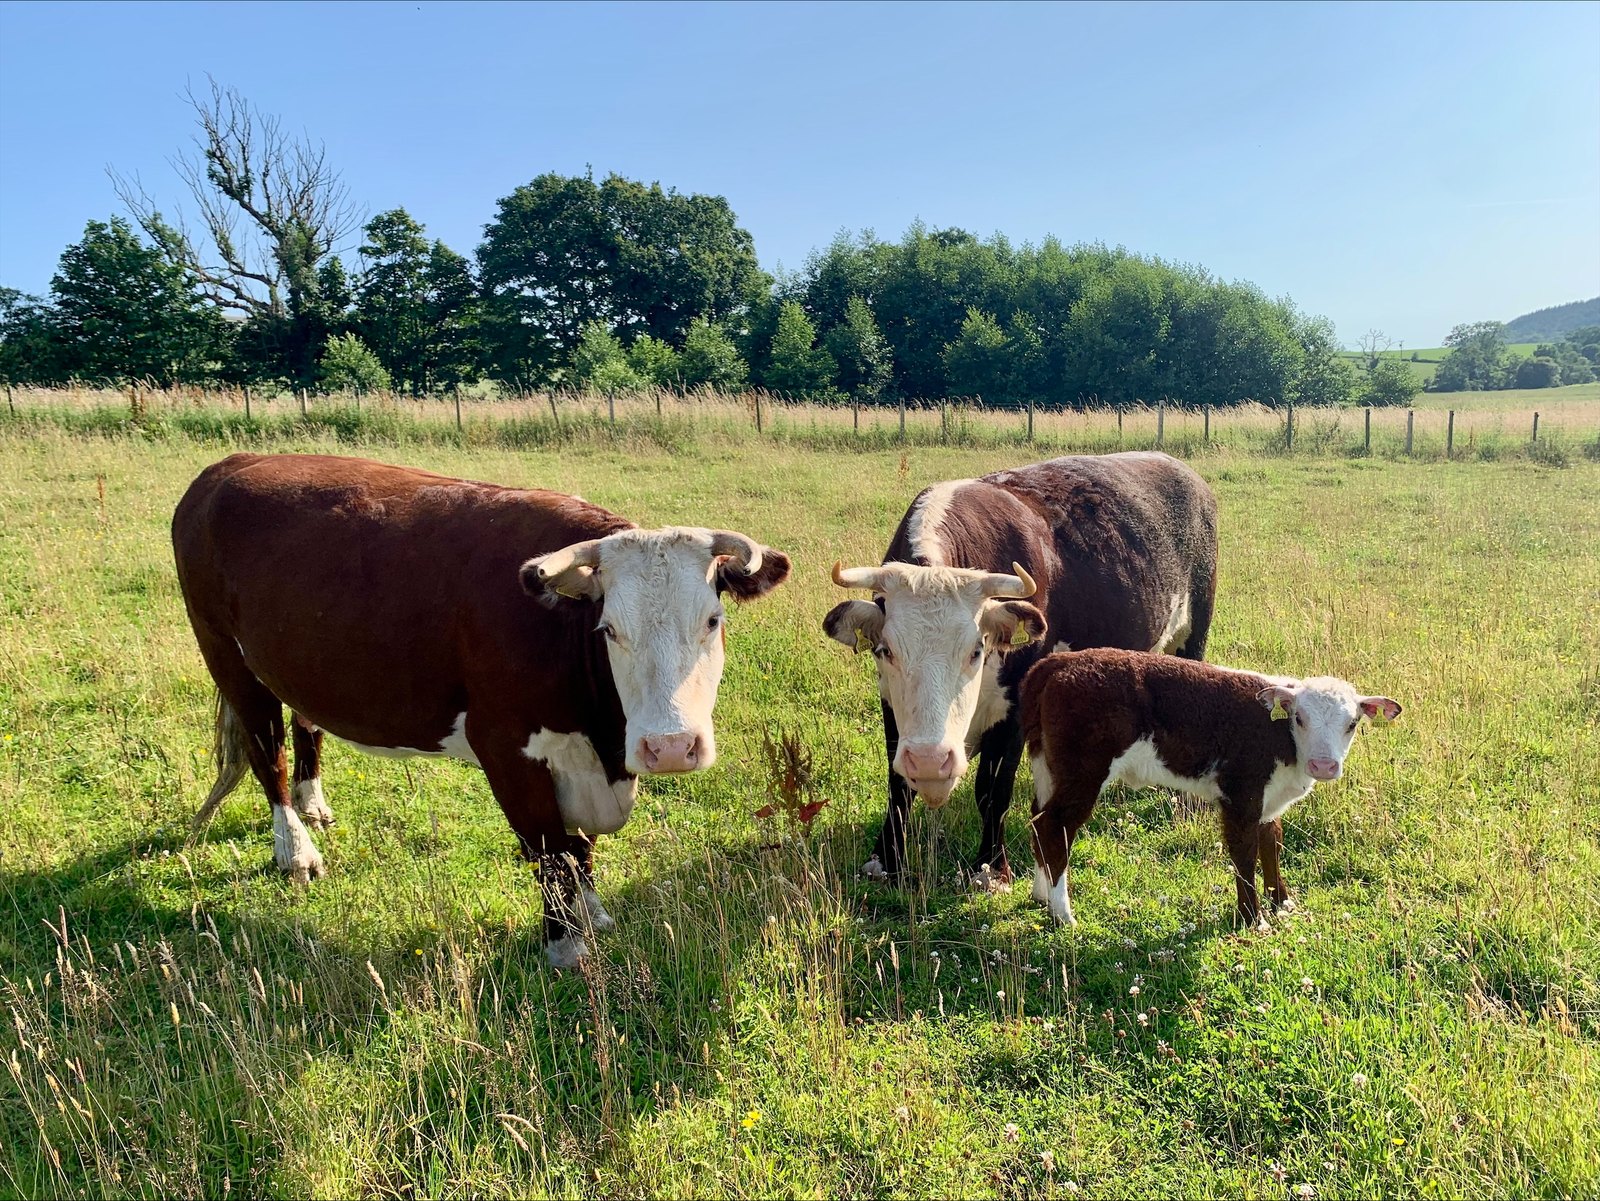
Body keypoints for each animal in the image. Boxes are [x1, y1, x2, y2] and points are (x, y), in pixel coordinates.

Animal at [173, 453, 790, 967]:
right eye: (609, 629)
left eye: (712, 620)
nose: (669, 748)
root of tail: (230, 465)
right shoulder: (506, 748)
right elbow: (550, 850)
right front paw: (565, 945)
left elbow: (580, 849)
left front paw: (591, 913)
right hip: (226, 656)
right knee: (266, 753)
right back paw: (296, 849)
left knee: (305, 726)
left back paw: (313, 803)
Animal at [823, 452, 1217, 887]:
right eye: (885, 650)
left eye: (977, 650)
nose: (930, 761)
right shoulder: (891, 703)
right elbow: (898, 784)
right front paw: (885, 859)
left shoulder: (1014, 709)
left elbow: (993, 789)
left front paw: (991, 867)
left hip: (1192, 637)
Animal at [1022, 648, 1401, 927]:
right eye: (1299, 718)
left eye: (1352, 723)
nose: (1323, 766)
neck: (1279, 737)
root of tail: (1058, 663)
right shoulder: (1241, 793)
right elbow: (1245, 851)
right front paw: (1253, 919)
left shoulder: (1269, 798)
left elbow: (1272, 843)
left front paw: (1281, 901)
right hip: (1084, 771)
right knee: (1055, 825)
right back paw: (1063, 913)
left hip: (1047, 765)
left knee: (1038, 820)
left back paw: (1041, 895)